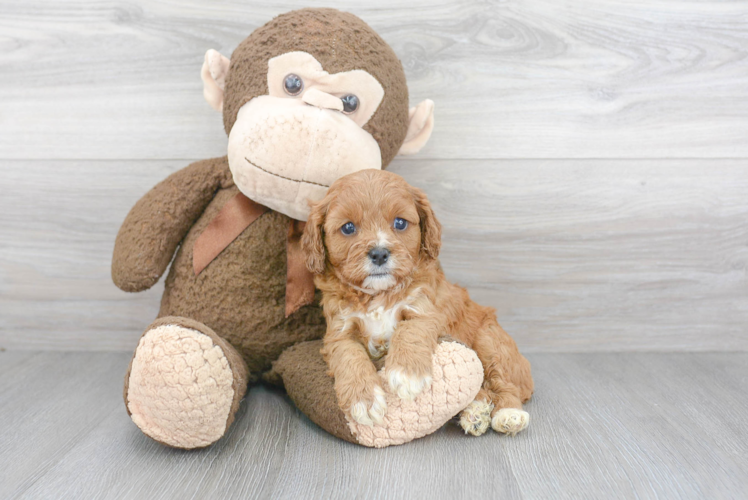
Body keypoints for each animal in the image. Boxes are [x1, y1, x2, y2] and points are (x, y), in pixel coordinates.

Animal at [300, 170, 536, 436]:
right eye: (348, 227)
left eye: (400, 223)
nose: (379, 253)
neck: (377, 295)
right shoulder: (339, 332)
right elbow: (349, 357)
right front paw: (364, 400)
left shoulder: (425, 310)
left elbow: (410, 330)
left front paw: (407, 374)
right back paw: (475, 412)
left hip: (490, 341)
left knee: (502, 382)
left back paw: (508, 414)